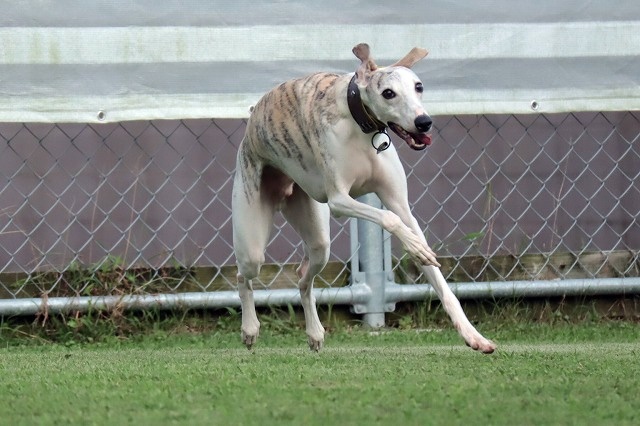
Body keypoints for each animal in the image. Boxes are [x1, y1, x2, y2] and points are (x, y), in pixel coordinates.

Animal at [232, 43, 496, 354]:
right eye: (388, 93)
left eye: (418, 86)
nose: (424, 122)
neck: (361, 125)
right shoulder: (339, 200)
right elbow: (388, 218)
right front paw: (415, 245)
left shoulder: (400, 203)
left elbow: (438, 279)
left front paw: (473, 336)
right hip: (252, 241)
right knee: (243, 277)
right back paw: (250, 328)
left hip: (318, 239)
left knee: (304, 278)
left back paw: (315, 332)